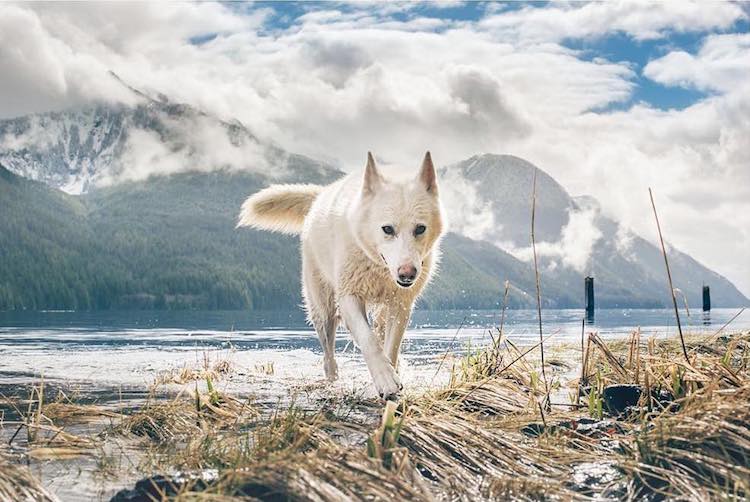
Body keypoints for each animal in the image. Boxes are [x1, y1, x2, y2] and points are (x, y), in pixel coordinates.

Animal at [238, 151, 444, 398]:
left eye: (420, 229)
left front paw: (391, 376)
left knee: (378, 331)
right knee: (329, 356)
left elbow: (390, 346)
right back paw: (332, 378)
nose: (407, 274)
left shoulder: (400, 304)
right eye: (387, 229)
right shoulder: (349, 297)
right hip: (323, 309)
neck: (377, 266)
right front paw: (384, 379)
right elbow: (368, 339)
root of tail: (320, 195)